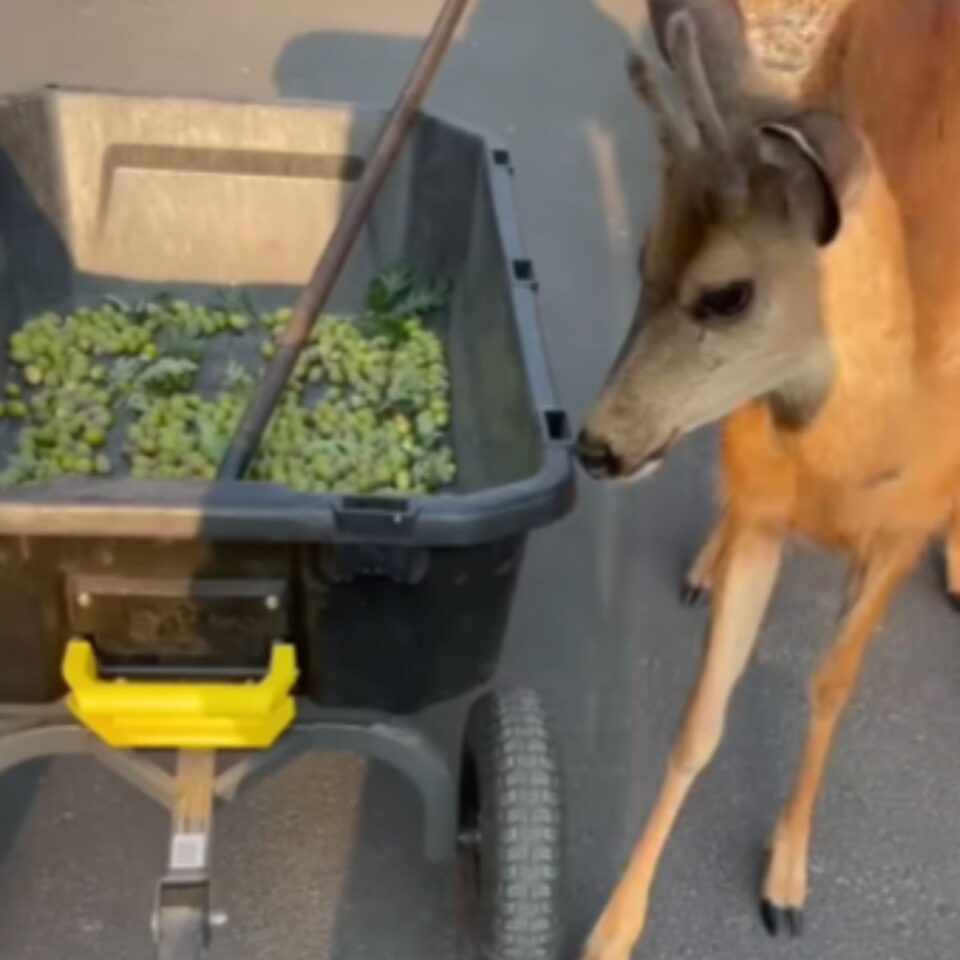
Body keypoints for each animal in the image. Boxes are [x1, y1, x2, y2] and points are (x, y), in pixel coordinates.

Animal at [575, 0, 960, 957]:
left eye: (729, 294)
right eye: (641, 261)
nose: (595, 446)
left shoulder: (901, 530)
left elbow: (831, 687)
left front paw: (786, 880)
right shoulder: (765, 509)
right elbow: (697, 722)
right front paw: (613, 928)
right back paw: (700, 566)